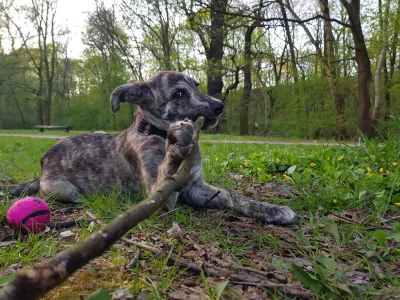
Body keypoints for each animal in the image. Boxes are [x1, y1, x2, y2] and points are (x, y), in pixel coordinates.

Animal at [3, 71, 296, 225]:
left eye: (196, 86)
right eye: (179, 93)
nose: (219, 106)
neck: (158, 132)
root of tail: (42, 164)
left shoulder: (195, 187)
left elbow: (234, 195)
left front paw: (270, 209)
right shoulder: (159, 195)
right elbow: (168, 168)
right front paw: (176, 148)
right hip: (61, 189)